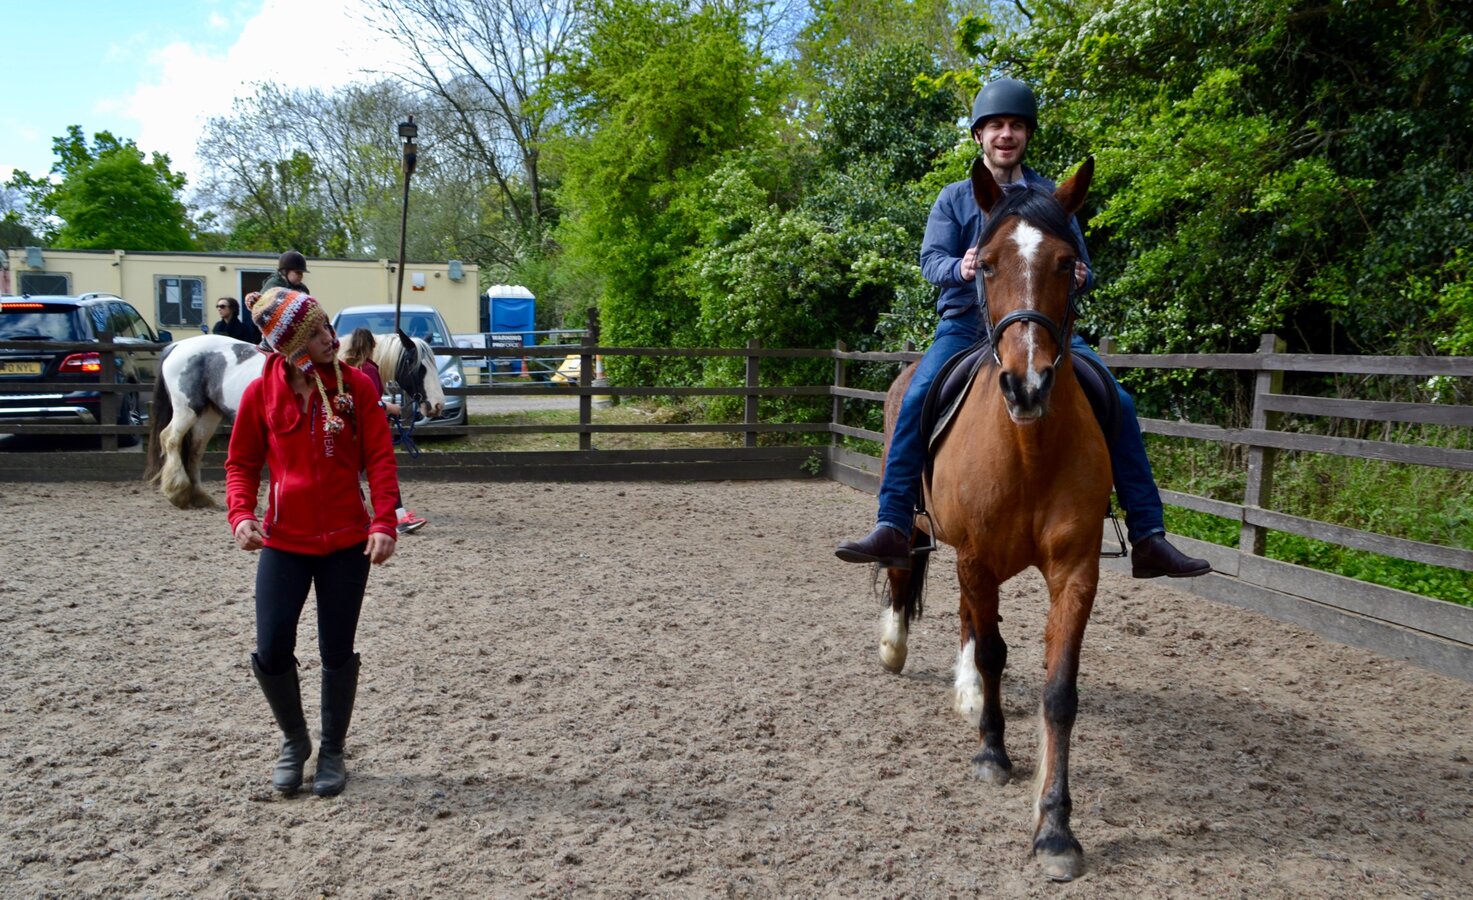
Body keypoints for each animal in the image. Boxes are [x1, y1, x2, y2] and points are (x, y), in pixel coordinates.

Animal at [143, 332, 443, 509]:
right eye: (419, 366)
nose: (437, 405)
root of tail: (177, 346)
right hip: (187, 409)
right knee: (170, 439)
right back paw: (178, 491)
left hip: (208, 414)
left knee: (194, 449)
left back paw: (200, 496)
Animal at [876, 157, 1112, 881]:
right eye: (984, 264)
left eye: (1066, 263)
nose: (1026, 384)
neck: (1028, 448)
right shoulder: (975, 555)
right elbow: (992, 651)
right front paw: (991, 754)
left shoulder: (1074, 571)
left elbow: (1057, 691)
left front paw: (1055, 829)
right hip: (924, 528)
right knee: (902, 568)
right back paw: (895, 647)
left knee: (963, 617)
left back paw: (968, 695)